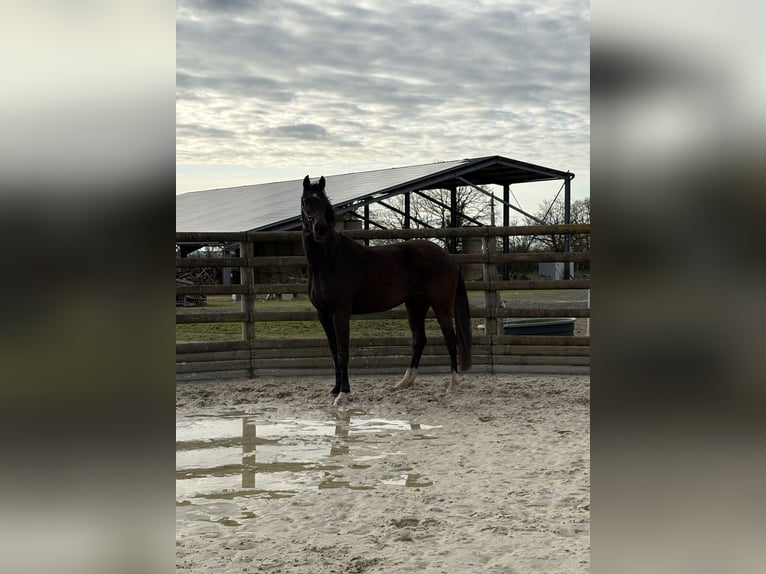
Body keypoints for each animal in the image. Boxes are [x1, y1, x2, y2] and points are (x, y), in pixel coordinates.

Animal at [300, 175, 472, 405]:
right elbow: (334, 352)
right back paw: (404, 382)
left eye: (324, 203)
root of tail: (449, 258)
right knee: (419, 340)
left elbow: (343, 352)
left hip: (441, 305)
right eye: (307, 201)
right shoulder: (323, 315)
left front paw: (343, 394)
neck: (330, 260)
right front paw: (336, 389)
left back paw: (452, 385)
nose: (320, 229)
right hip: (416, 305)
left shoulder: (340, 313)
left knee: (450, 339)